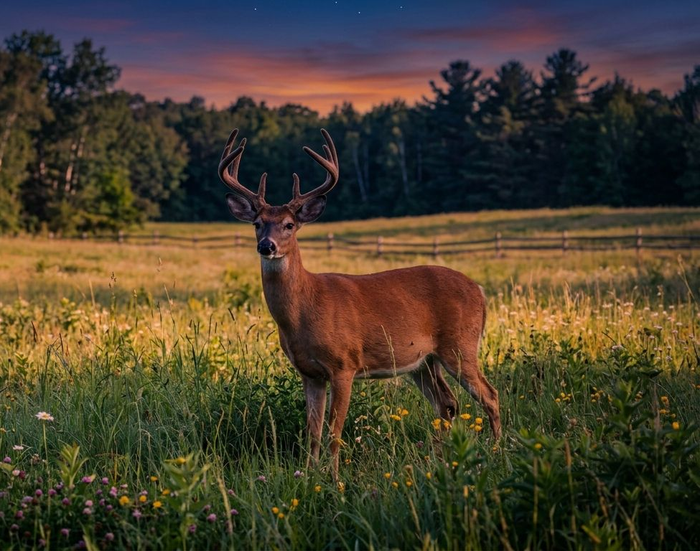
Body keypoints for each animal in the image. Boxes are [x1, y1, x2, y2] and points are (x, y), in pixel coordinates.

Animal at [219, 128, 501, 478]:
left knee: (490, 395)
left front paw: (334, 478)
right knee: (447, 403)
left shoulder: (344, 364)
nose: (266, 246)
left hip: (460, 344)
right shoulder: (309, 373)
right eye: (257, 223)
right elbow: (312, 430)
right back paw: (439, 459)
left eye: (289, 225)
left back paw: (498, 451)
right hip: (423, 361)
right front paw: (309, 474)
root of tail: (479, 290)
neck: (305, 310)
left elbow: (334, 430)